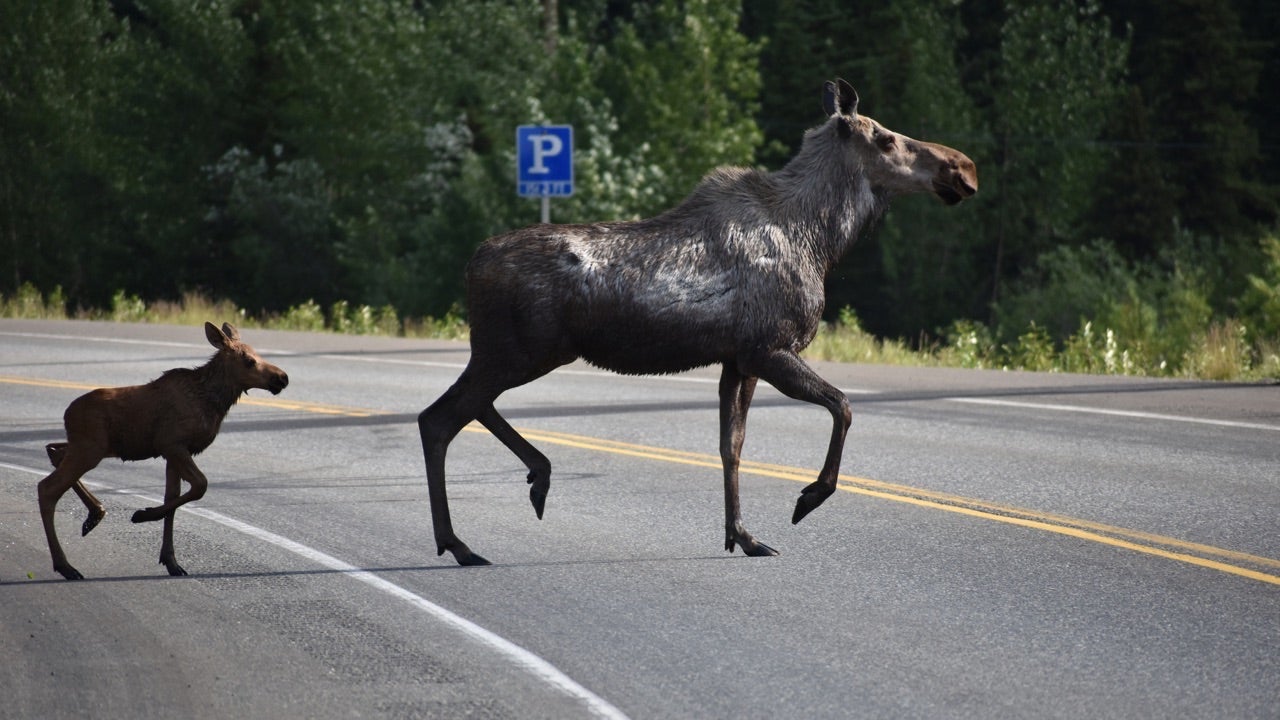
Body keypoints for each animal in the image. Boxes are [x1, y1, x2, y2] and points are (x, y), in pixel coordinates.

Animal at [37, 322, 288, 580]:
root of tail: (67, 414)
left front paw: (172, 561)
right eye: (248, 360)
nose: (282, 378)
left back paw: (94, 515)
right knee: (47, 487)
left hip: (90, 446)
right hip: (90, 448)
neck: (213, 403)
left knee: (53, 451)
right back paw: (66, 565)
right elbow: (200, 485)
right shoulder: (172, 443)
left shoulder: (175, 451)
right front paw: (142, 515)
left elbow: (173, 497)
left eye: (258, 353)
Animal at [418, 78, 978, 565]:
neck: (822, 239)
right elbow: (842, 406)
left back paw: (534, 478)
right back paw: (460, 542)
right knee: (438, 418)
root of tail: (471, 265)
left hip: (508, 352)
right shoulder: (769, 348)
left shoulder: (738, 359)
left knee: (467, 408)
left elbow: (731, 447)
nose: (964, 168)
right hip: (519, 351)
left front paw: (742, 536)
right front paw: (807, 498)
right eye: (886, 138)